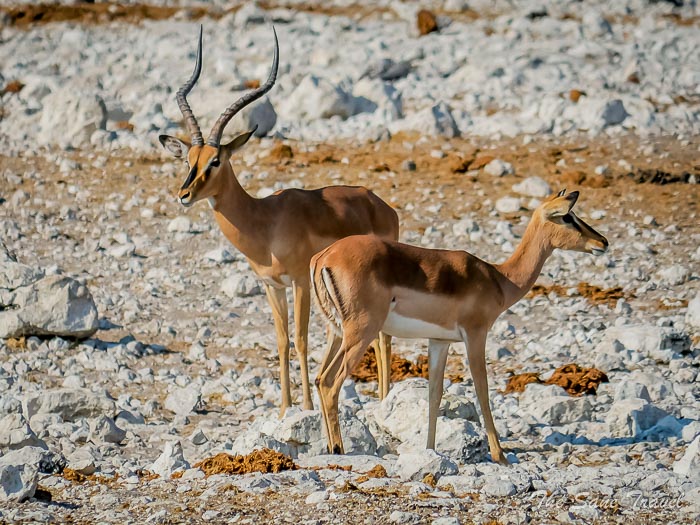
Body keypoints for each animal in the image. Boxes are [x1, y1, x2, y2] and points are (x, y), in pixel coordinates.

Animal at [158, 27, 398, 416]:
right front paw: (285, 408)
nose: (184, 195)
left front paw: (305, 407)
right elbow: (282, 341)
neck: (264, 221)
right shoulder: (272, 286)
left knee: (382, 338)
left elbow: (300, 340)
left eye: (216, 160)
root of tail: (380, 204)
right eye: (188, 159)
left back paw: (384, 400)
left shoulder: (299, 282)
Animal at [311, 190, 608, 464]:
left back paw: (329, 446)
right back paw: (338, 450)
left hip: (337, 332)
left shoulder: (439, 342)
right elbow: (482, 390)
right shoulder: (476, 335)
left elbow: (434, 395)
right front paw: (500, 455)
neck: (500, 278)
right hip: (361, 333)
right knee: (328, 381)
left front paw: (430, 450)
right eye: (568, 216)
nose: (603, 242)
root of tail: (324, 257)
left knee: (319, 378)